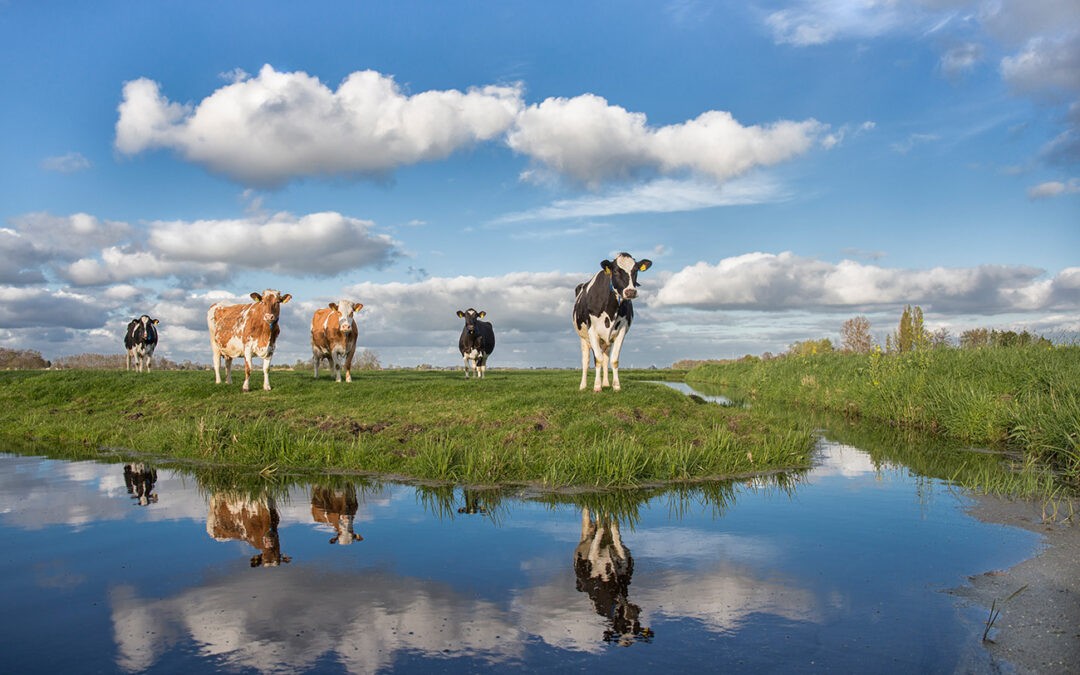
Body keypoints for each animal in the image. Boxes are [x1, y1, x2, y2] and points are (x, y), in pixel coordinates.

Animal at [574, 251, 648, 388]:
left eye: (635, 270)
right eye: (616, 271)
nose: (630, 292)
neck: (611, 309)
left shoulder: (621, 331)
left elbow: (613, 360)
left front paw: (616, 386)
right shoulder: (592, 331)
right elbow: (597, 359)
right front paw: (597, 387)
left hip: (606, 341)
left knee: (606, 358)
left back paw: (606, 383)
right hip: (584, 338)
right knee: (586, 361)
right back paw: (583, 386)